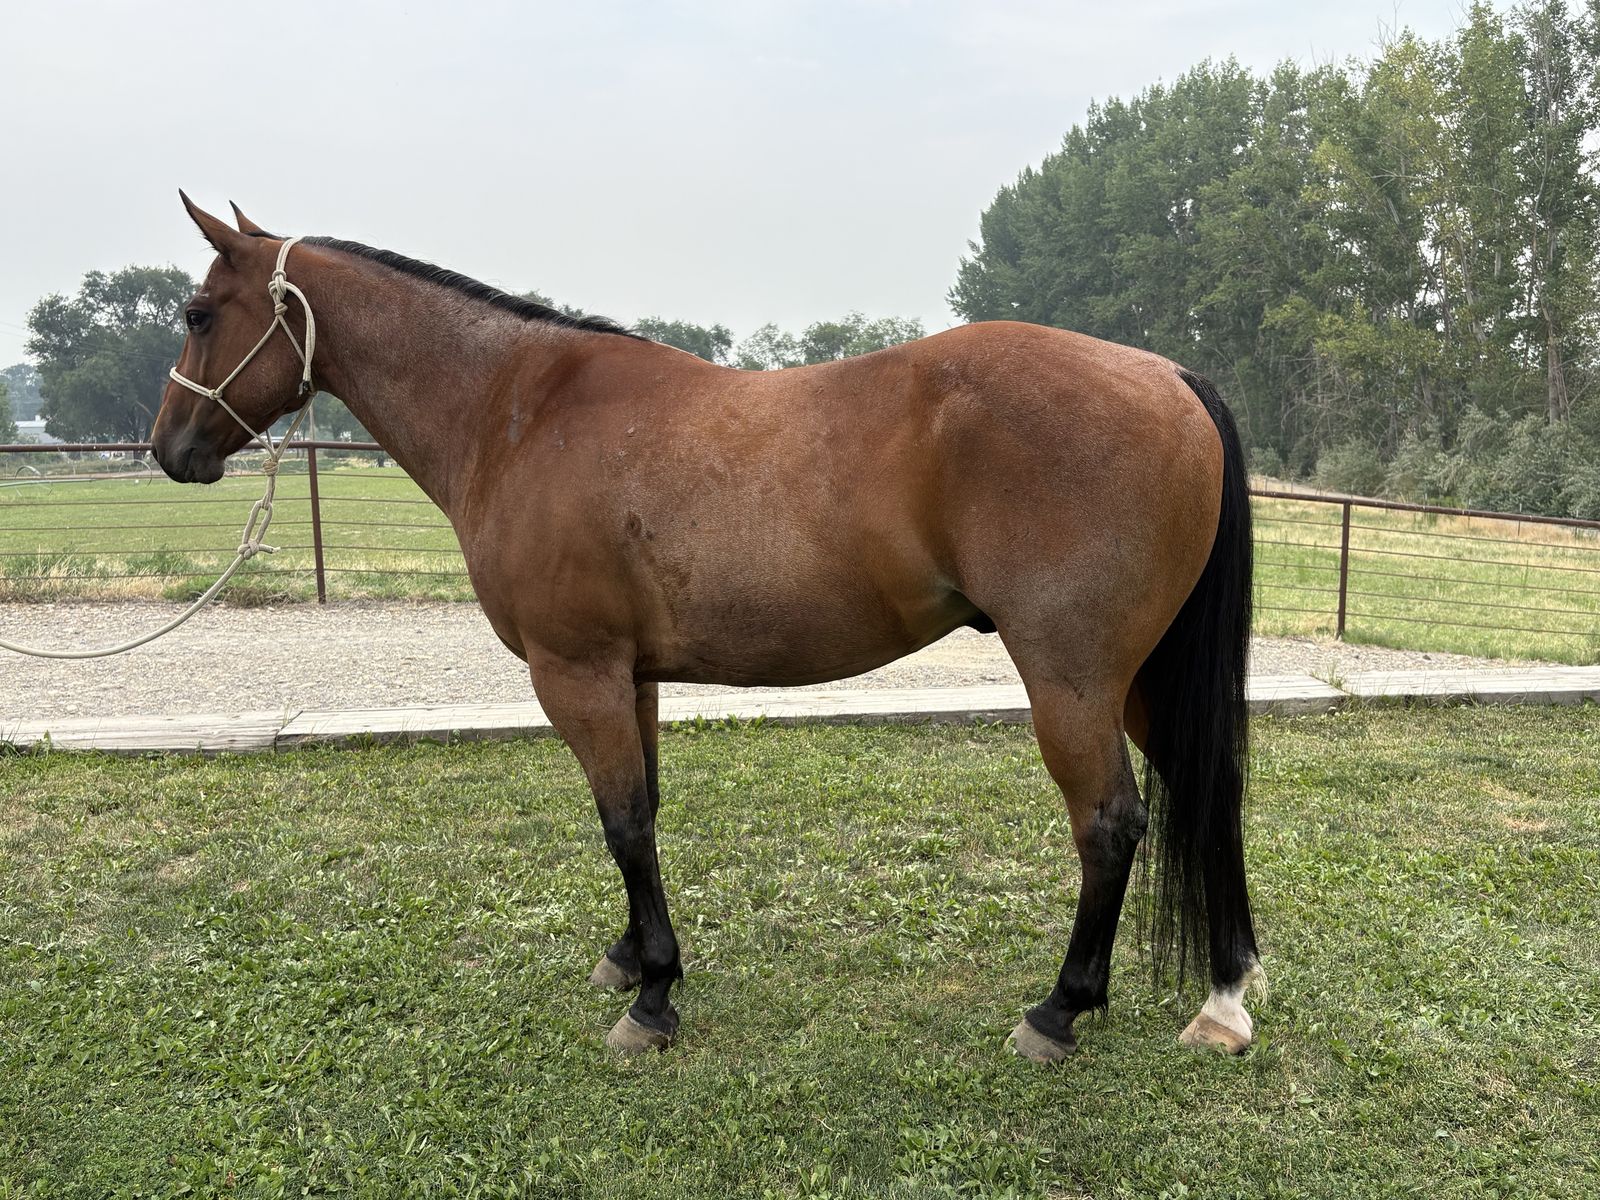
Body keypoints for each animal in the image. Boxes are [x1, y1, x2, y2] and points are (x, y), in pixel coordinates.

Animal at [151, 194, 1263, 1061]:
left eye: (201, 312)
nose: (169, 449)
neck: (518, 412)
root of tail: (1170, 377)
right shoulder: (628, 674)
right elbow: (641, 809)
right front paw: (629, 960)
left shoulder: (576, 673)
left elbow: (623, 824)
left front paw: (653, 998)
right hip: (1141, 679)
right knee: (1207, 793)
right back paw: (1224, 996)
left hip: (1072, 681)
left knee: (1111, 823)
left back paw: (1060, 1009)